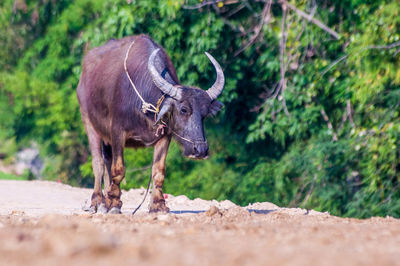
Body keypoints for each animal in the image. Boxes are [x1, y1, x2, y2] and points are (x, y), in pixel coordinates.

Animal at [76, 34, 223, 214]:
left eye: (205, 114)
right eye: (183, 110)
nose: (200, 150)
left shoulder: (165, 135)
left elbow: (158, 172)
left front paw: (158, 205)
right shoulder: (117, 132)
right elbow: (118, 169)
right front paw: (114, 204)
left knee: (107, 160)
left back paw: (105, 201)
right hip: (89, 122)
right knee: (98, 162)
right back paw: (97, 201)